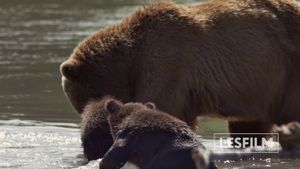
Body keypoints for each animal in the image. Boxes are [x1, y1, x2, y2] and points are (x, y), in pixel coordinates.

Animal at [59, 0, 300, 158]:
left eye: (79, 101)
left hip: (285, 70)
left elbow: (162, 109)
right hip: (261, 84)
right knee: (249, 126)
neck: (128, 62)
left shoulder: (166, 64)